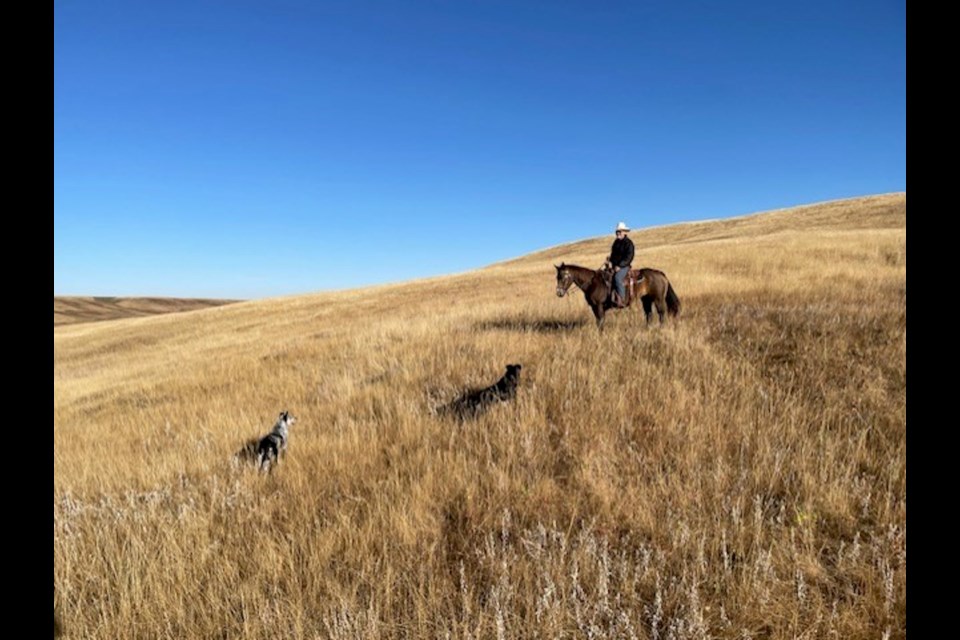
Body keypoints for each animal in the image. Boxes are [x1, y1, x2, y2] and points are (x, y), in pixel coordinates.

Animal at [556, 262, 684, 328]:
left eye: (563, 277)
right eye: (557, 277)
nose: (559, 293)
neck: (592, 282)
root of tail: (661, 274)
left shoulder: (599, 306)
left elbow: (600, 321)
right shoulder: (594, 307)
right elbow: (598, 321)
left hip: (658, 299)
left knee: (661, 313)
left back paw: (661, 328)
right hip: (646, 299)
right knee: (649, 314)